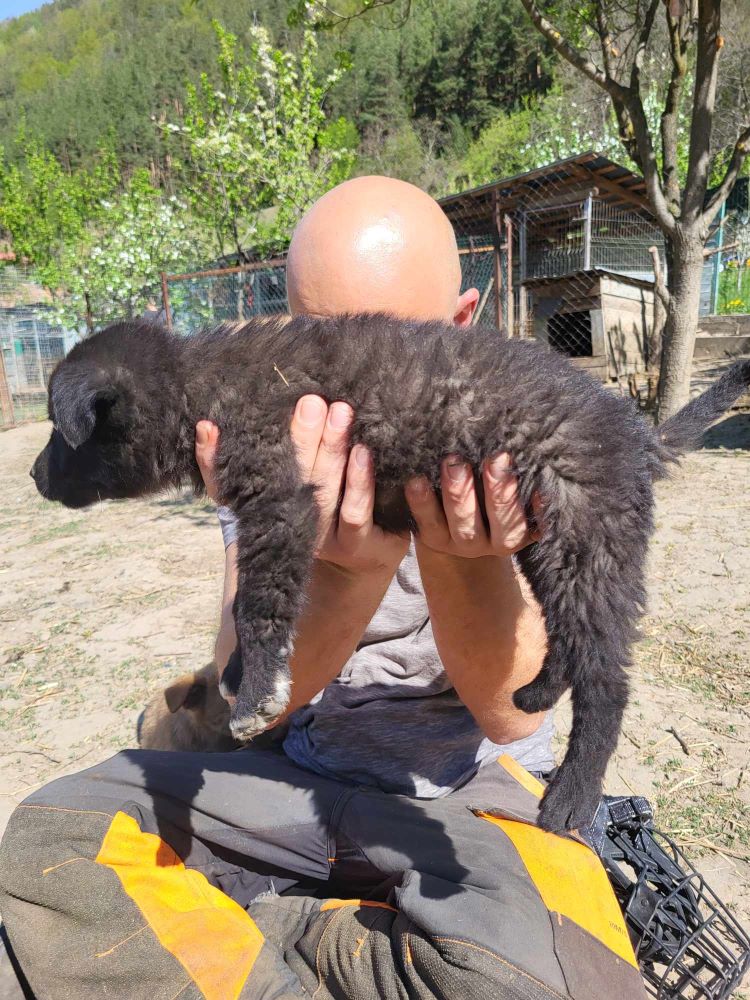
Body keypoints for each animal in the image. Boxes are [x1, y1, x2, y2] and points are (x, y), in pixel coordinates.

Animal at [32, 316, 750, 832]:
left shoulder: (277, 500)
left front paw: (256, 688)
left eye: (58, 433)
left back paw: (571, 797)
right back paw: (536, 693)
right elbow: (255, 610)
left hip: (588, 539)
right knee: (568, 642)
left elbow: (258, 607)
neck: (196, 384)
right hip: (551, 545)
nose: (34, 477)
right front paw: (241, 675)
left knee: (607, 680)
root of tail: (640, 438)